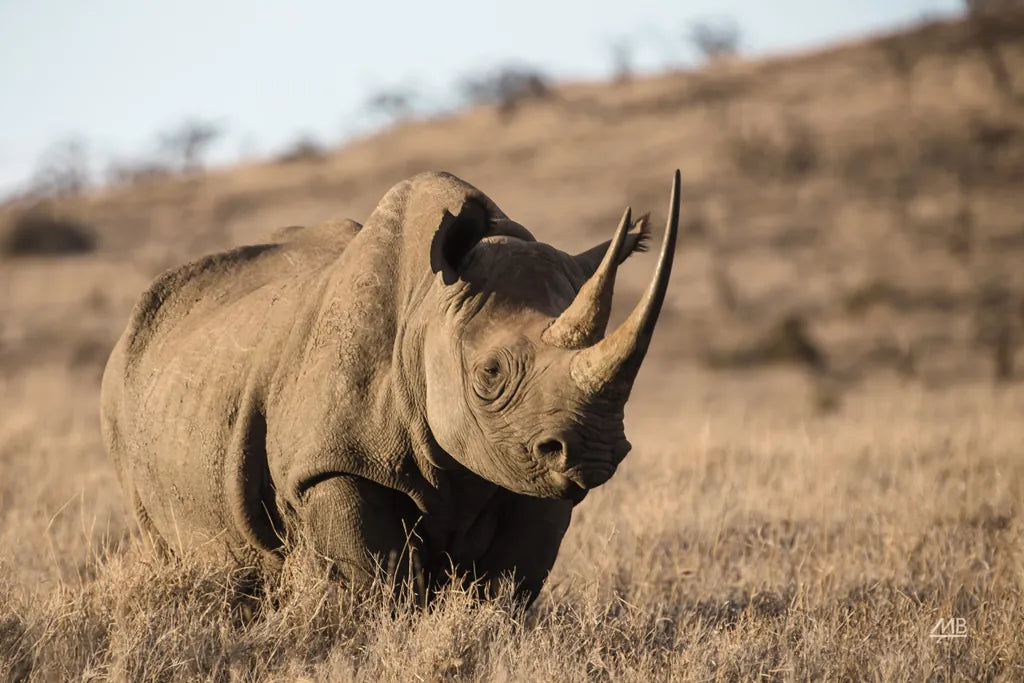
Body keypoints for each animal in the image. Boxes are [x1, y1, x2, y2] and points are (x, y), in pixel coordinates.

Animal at [101, 170, 680, 604]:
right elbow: (378, 585)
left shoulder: (526, 467)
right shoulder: (333, 462)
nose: (595, 451)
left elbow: (509, 584)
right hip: (120, 398)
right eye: (490, 374)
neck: (428, 310)